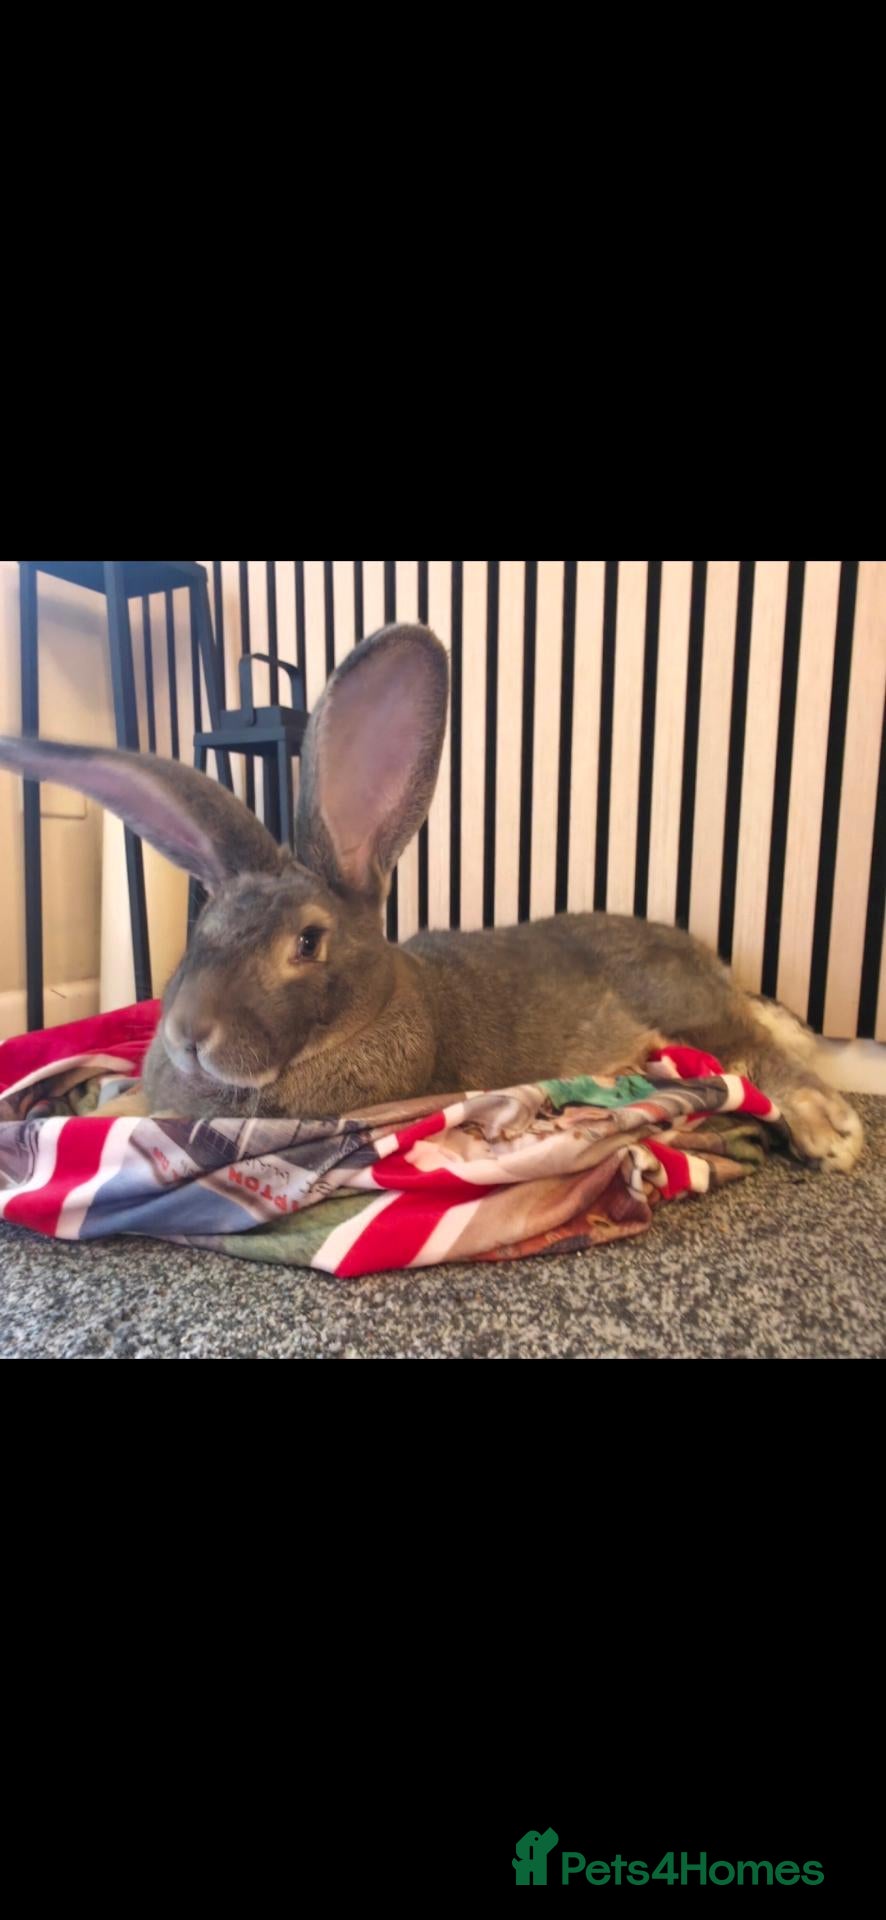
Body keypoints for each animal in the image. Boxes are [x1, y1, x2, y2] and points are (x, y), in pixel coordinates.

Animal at [0, 623, 864, 1171]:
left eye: (307, 942)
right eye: (203, 924)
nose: (187, 1035)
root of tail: (716, 967)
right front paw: (78, 1115)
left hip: (686, 1010)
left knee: (758, 1056)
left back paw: (831, 1130)